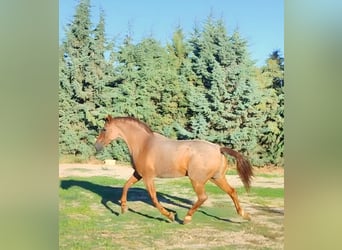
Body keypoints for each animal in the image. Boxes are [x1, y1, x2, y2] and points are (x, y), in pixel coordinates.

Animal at [95, 116, 252, 224]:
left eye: (104, 129)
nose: (96, 146)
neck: (144, 144)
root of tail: (218, 148)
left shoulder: (147, 177)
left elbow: (153, 198)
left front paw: (169, 216)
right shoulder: (138, 174)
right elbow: (126, 186)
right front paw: (123, 208)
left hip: (197, 180)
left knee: (203, 197)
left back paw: (186, 218)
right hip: (217, 178)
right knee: (232, 191)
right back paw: (244, 215)